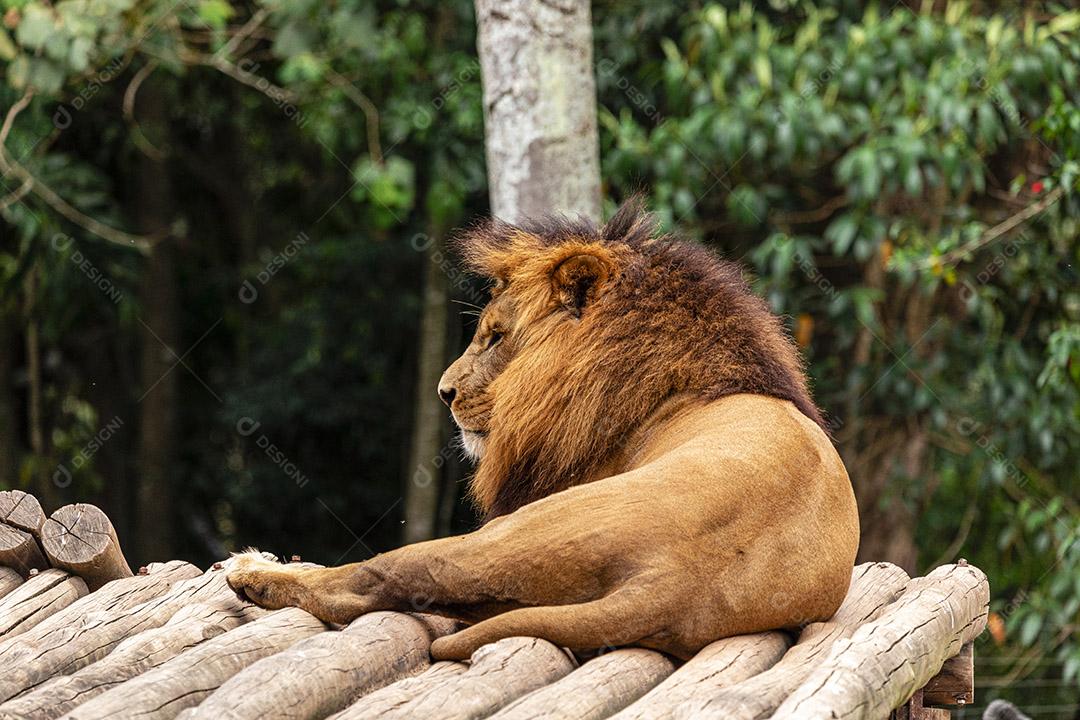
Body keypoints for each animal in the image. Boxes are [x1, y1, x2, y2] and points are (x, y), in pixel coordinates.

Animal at [227, 199, 859, 660]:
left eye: (495, 337)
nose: (444, 393)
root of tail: (677, 581)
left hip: (512, 533)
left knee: (372, 580)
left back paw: (252, 571)